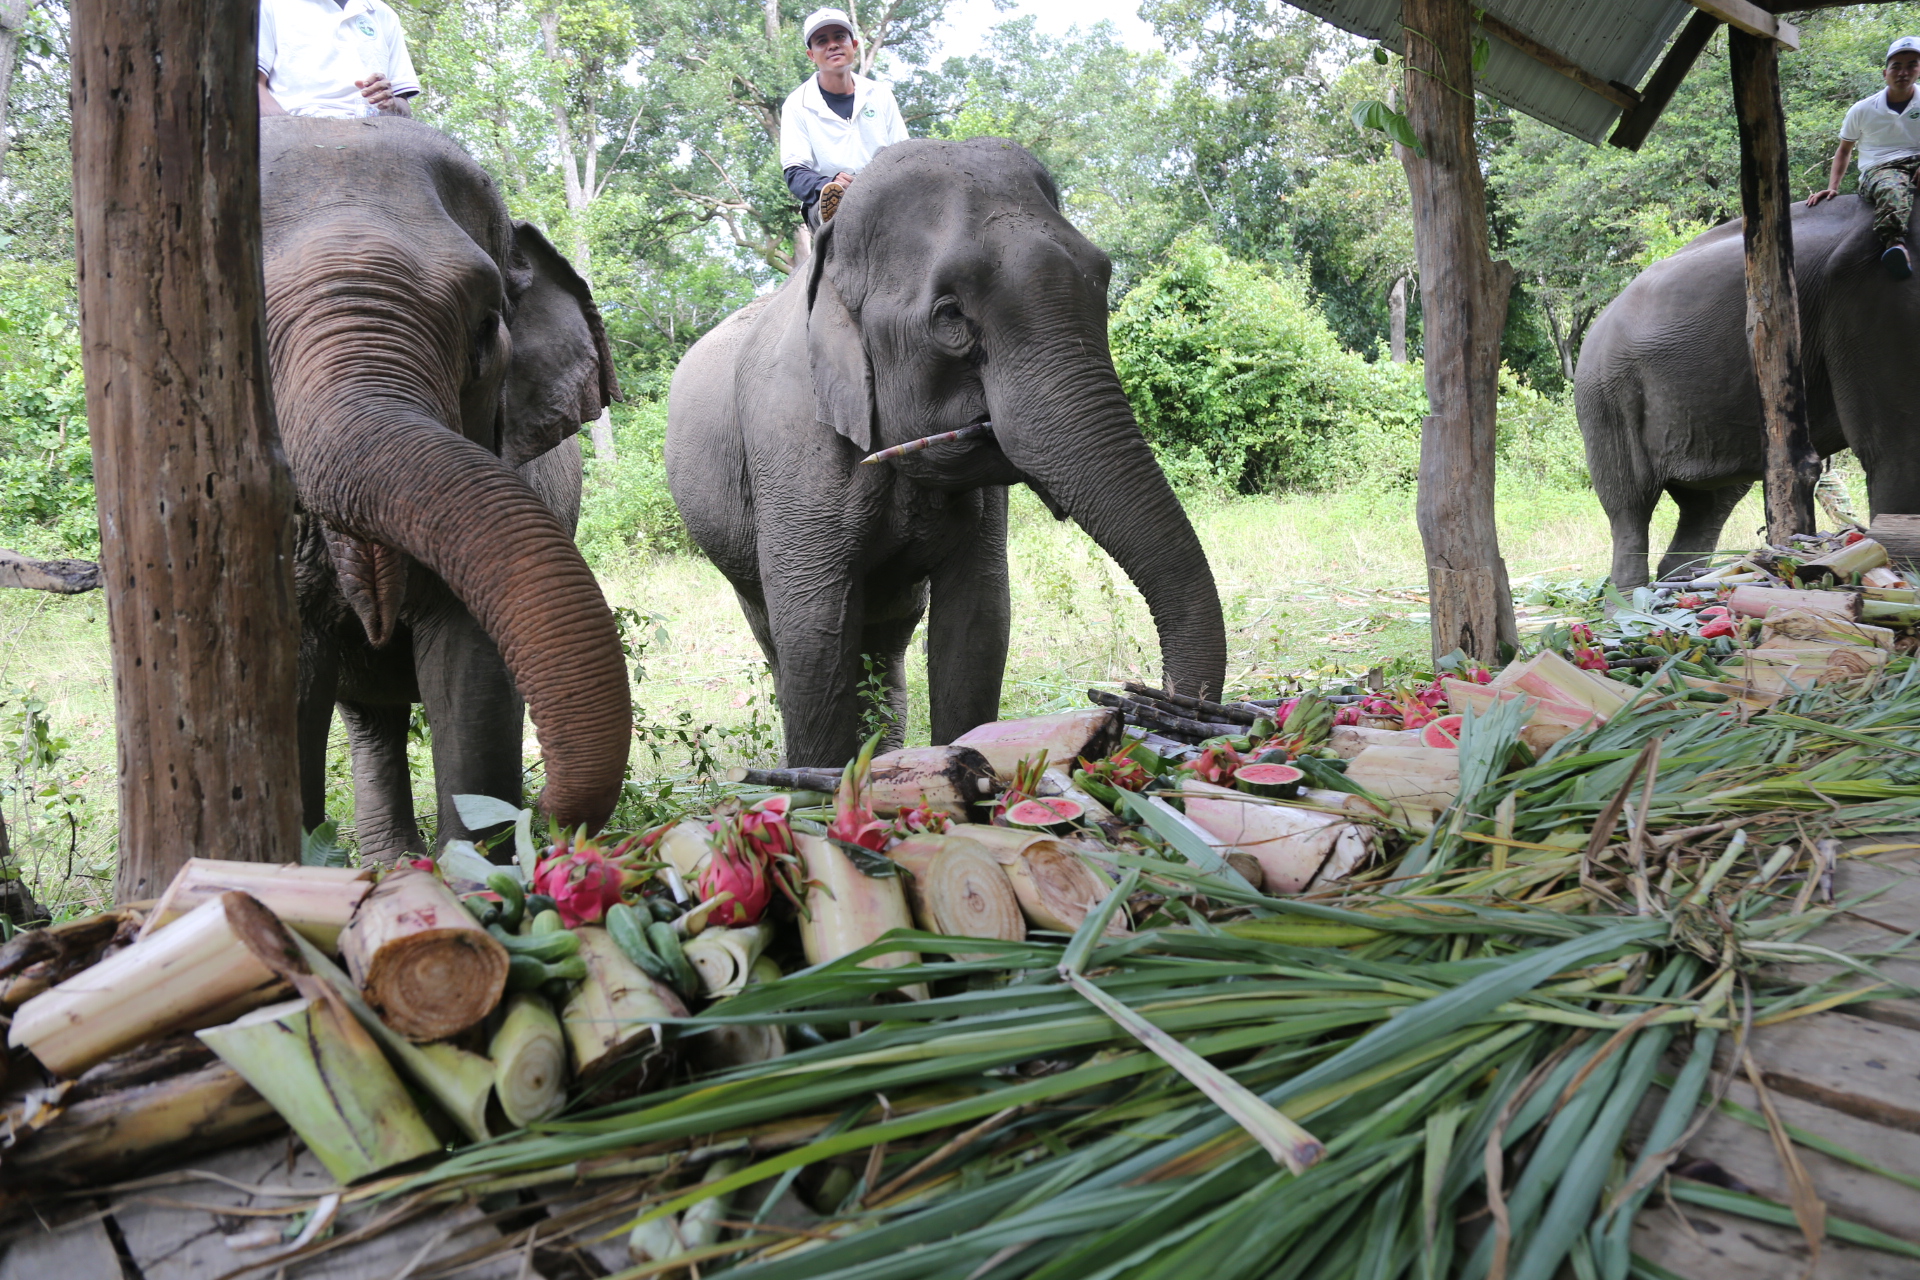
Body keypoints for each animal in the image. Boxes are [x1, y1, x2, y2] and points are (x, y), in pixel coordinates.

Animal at [255, 119, 625, 867]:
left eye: (486, 327)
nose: (548, 815)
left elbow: (472, 673)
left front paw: (472, 873)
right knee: (372, 718)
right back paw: (390, 860)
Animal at [668, 138, 1221, 771]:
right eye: (950, 315)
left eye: (1102, 277)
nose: (1155, 702)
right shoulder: (791, 445)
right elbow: (813, 633)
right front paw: (822, 782)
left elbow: (978, 619)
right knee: (781, 641)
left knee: (884, 642)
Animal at [1566, 193, 1912, 587]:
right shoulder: (1868, 302)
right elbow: (1890, 445)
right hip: (1607, 399)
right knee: (1630, 505)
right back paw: (1633, 597)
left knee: (1708, 504)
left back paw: (1685, 583)